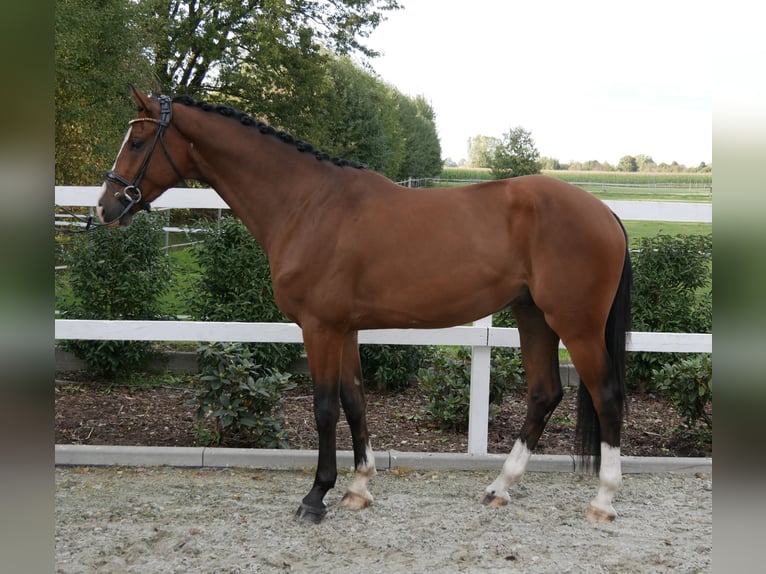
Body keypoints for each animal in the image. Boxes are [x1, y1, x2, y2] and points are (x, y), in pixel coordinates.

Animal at [97, 86, 632, 528]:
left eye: (138, 142)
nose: (106, 207)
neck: (308, 204)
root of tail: (604, 211)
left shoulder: (320, 327)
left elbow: (325, 407)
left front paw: (316, 496)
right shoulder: (346, 328)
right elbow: (354, 401)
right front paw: (358, 488)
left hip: (576, 325)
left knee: (606, 394)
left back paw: (603, 500)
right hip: (533, 316)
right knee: (544, 393)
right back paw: (500, 487)